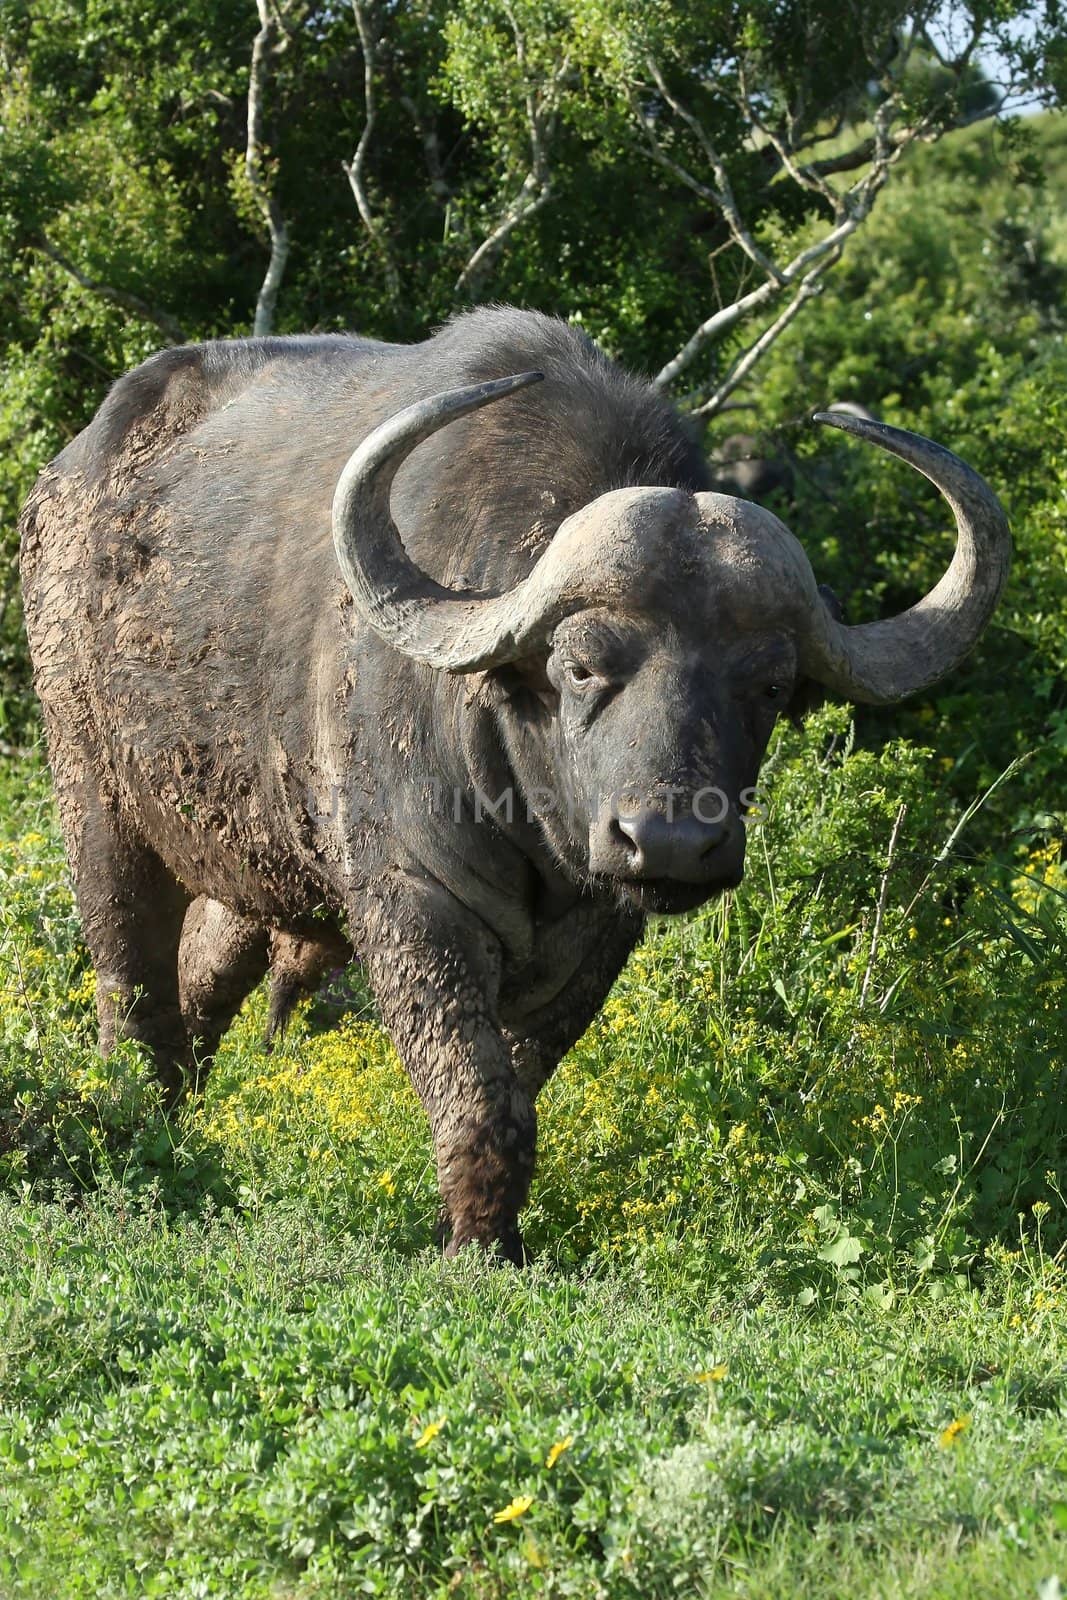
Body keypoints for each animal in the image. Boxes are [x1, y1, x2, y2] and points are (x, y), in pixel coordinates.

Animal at [18, 308, 1011, 1260]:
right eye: (580, 665)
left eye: (768, 685)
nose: (673, 841)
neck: (522, 803)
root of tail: (68, 473)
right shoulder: (413, 901)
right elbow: (474, 1086)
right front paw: (475, 1246)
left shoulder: (599, 930)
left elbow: (521, 1080)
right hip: (92, 790)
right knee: (130, 980)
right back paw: (128, 1125)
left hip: (252, 856)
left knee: (200, 978)